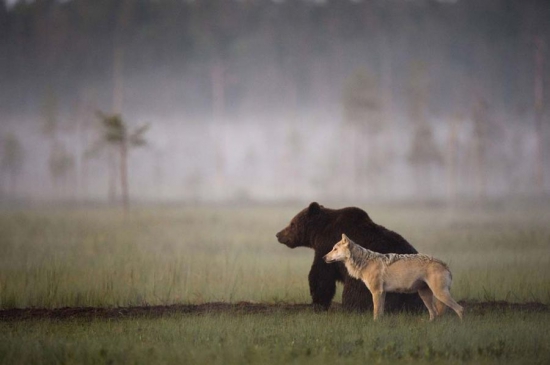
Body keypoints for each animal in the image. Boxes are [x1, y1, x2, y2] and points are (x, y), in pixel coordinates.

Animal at [278, 202, 424, 310]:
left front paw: (318, 302)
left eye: (292, 224)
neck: (319, 232)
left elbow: (321, 275)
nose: (278, 234)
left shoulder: (326, 246)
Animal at [326, 233, 464, 318]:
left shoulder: (376, 292)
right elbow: (380, 313)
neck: (364, 262)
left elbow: (376, 313)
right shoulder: (382, 293)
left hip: (439, 294)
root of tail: (444, 265)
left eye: (335, 249)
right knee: (434, 313)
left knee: (460, 309)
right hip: (425, 295)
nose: (323, 257)